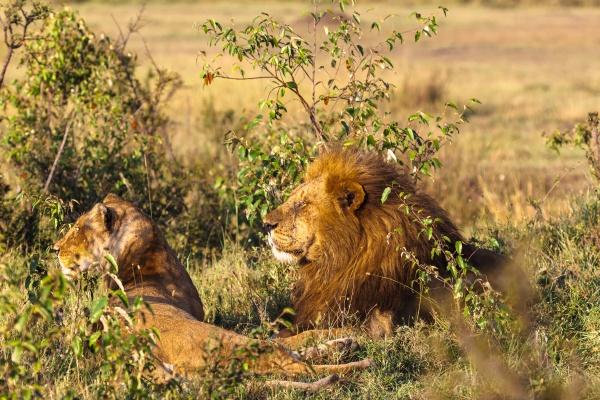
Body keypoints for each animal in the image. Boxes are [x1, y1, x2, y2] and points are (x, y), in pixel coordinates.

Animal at [54, 194, 370, 388]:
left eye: (78, 229)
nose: (55, 250)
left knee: (287, 352)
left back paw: (346, 344)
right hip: (220, 339)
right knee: (291, 362)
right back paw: (358, 363)